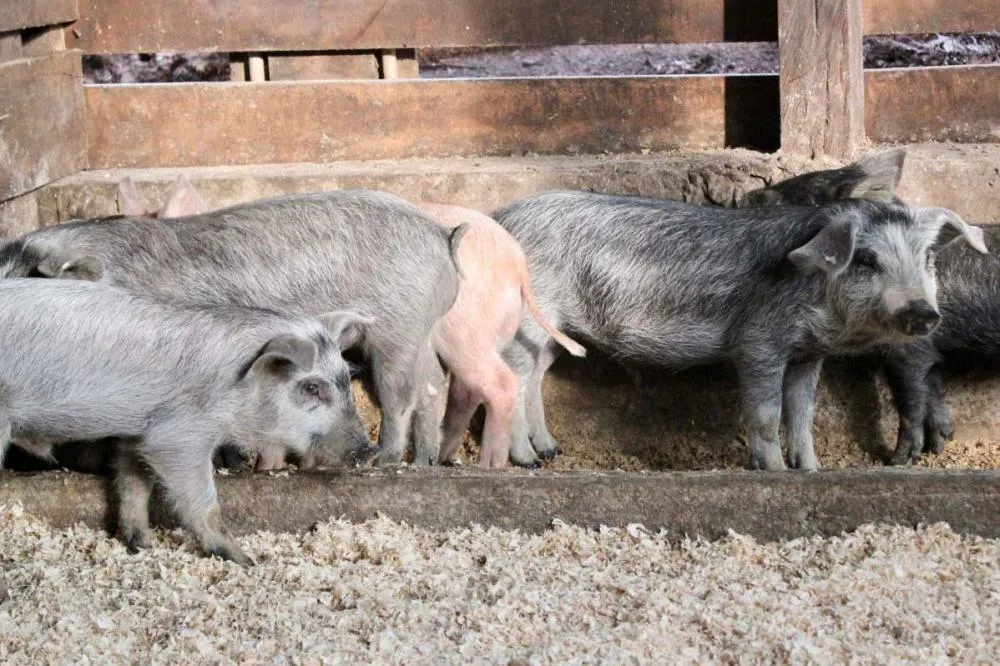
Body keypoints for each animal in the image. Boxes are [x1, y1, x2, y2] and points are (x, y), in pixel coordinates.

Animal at [0, 190, 466, 466]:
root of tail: (443, 236)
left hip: (397, 331)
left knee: (400, 396)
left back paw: (385, 462)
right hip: (422, 332)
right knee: (432, 387)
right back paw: (426, 462)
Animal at [0, 279, 372, 565]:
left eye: (346, 380)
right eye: (313, 388)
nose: (367, 451)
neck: (237, 385)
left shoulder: (139, 431)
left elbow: (135, 484)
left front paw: (140, 545)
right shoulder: (178, 434)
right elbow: (201, 501)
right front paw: (246, 560)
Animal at [493, 192, 987, 470]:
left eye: (927, 257)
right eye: (866, 260)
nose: (924, 311)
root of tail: (500, 218)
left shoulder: (807, 354)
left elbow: (803, 413)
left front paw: (811, 470)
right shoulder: (758, 343)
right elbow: (767, 413)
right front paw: (773, 471)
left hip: (551, 333)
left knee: (534, 379)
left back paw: (551, 452)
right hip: (528, 322)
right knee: (513, 380)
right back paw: (526, 463)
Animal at [739, 149, 996, 464]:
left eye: (799, 192)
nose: (745, 196)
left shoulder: (911, 346)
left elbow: (911, 396)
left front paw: (898, 461)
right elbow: (932, 388)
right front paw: (939, 442)